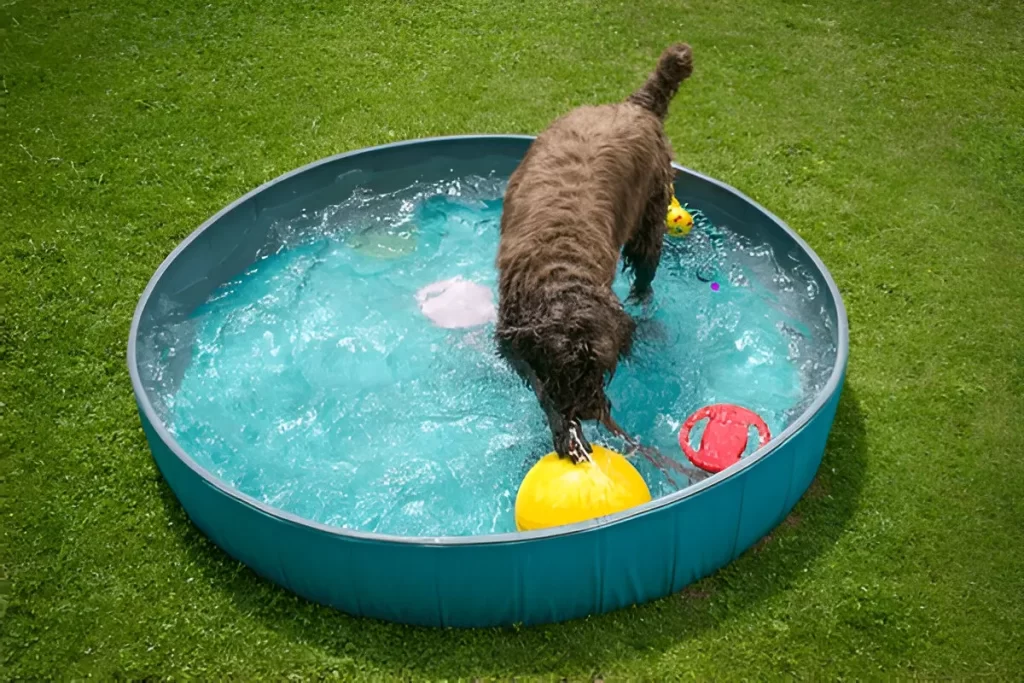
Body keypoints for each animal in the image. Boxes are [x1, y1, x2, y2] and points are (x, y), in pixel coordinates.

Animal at [495, 44, 696, 464]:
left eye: (603, 368)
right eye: (565, 372)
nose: (588, 410)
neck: (560, 262)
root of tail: (636, 104)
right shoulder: (511, 338)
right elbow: (540, 386)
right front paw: (565, 427)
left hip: (650, 216)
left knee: (646, 272)